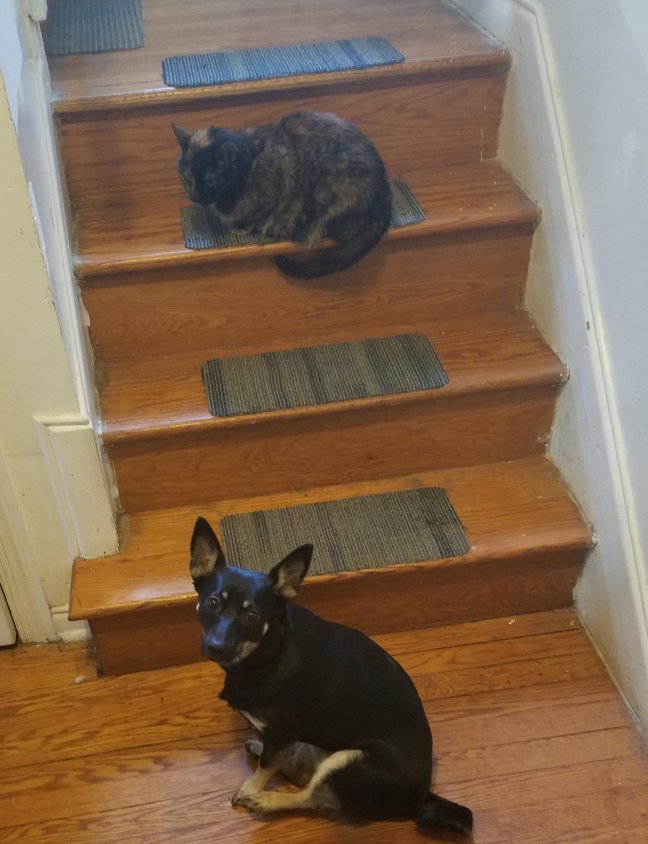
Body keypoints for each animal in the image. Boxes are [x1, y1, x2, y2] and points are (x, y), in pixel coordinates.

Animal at [172, 111, 392, 279]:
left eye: (210, 181)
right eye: (188, 178)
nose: (194, 197)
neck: (247, 165)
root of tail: (384, 198)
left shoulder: (278, 180)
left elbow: (257, 214)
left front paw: (241, 226)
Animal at [190, 516, 473, 835]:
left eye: (252, 616)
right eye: (212, 603)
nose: (216, 647)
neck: (270, 649)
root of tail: (419, 797)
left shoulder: (281, 733)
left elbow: (265, 770)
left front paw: (251, 790)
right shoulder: (281, 736)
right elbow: (273, 759)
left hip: (349, 761)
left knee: (312, 796)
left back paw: (267, 799)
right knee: (302, 773)